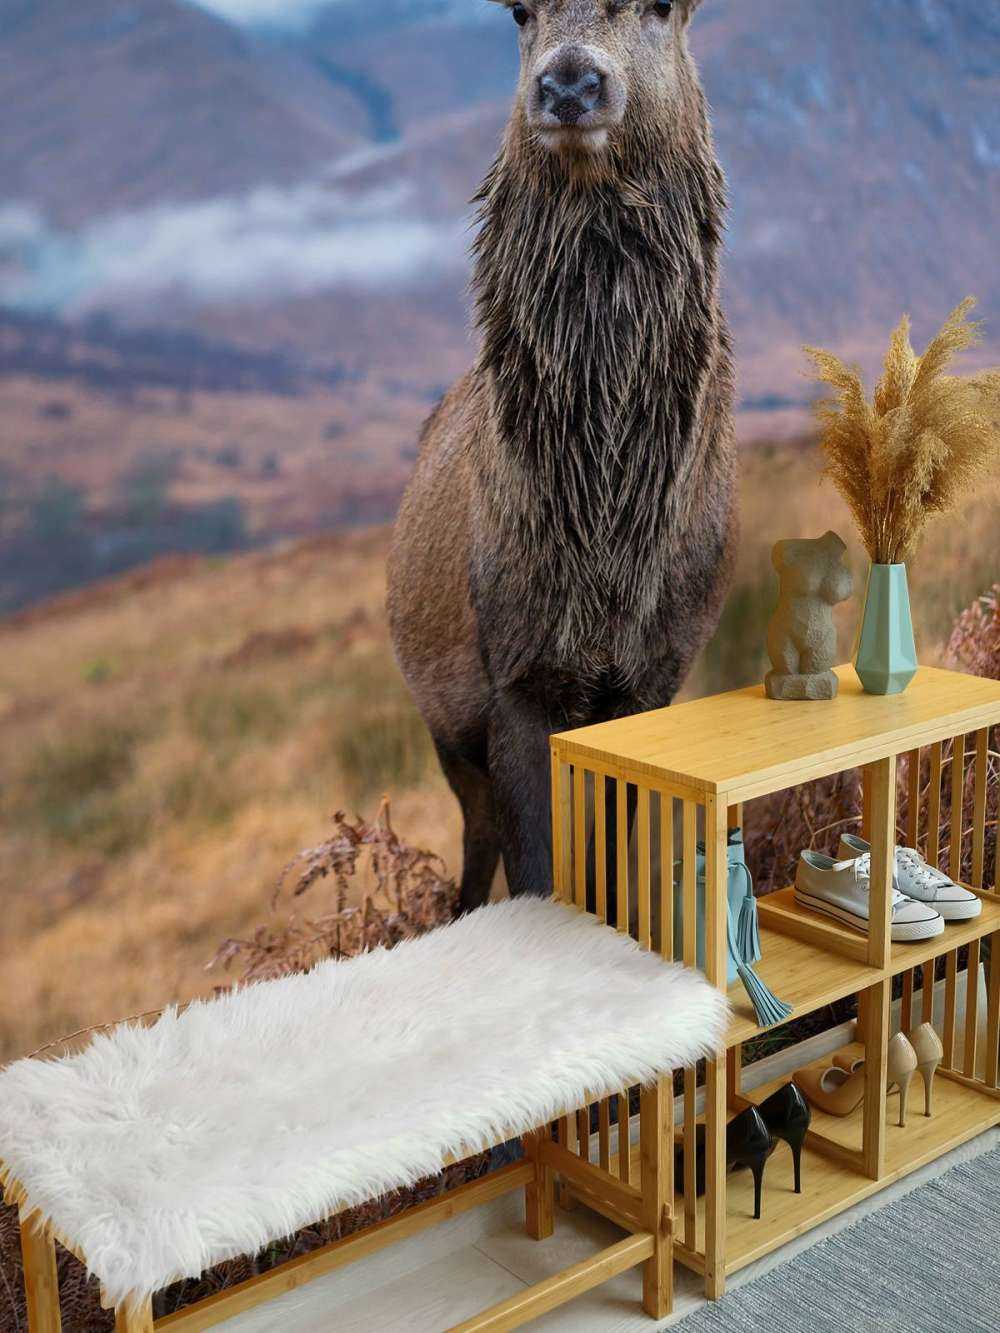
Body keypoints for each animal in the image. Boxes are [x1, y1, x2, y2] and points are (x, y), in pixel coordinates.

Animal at [388, 0, 737, 916]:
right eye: (521, 12)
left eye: (662, 8)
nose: (570, 83)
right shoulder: (516, 675)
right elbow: (541, 872)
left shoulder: (652, 679)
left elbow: (607, 870)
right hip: (444, 723)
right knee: (475, 840)